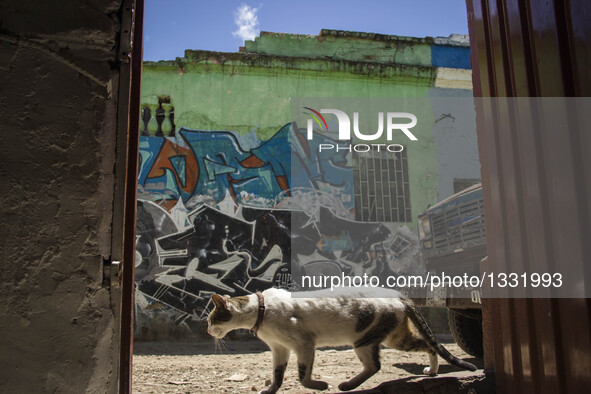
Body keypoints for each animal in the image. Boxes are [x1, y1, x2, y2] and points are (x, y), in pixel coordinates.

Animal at [207, 286, 476, 394]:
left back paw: (346, 385)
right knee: (425, 346)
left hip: (365, 340)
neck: (261, 310)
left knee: (376, 365)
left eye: (210, 319)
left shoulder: (303, 345)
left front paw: (320, 385)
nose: (208, 331)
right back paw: (432, 371)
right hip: (393, 338)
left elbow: (302, 377)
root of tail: (398, 294)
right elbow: (278, 375)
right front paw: (270, 390)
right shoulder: (279, 349)